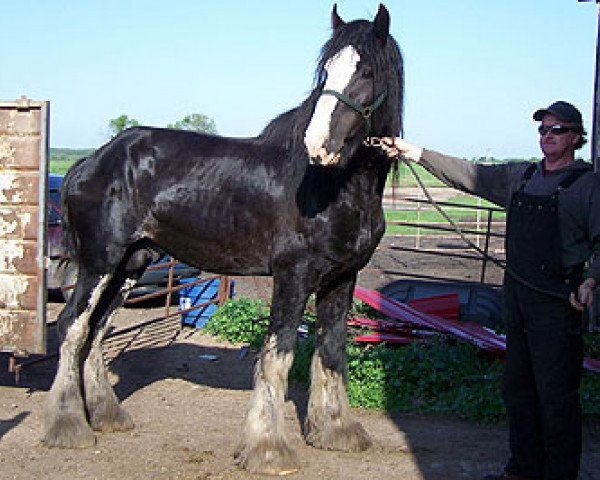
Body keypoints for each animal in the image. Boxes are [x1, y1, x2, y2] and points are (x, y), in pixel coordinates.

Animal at [44, 4, 404, 476]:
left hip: (132, 263)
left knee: (98, 328)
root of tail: (92, 160)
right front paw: (268, 449)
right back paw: (68, 426)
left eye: (366, 71)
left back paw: (108, 416)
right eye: (326, 71)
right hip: (98, 261)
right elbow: (278, 357)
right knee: (72, 325)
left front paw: (336, 432)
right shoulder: (293, 276)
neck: (334, 185)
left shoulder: (342, 279)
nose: (318, 144)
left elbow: (331, 352)